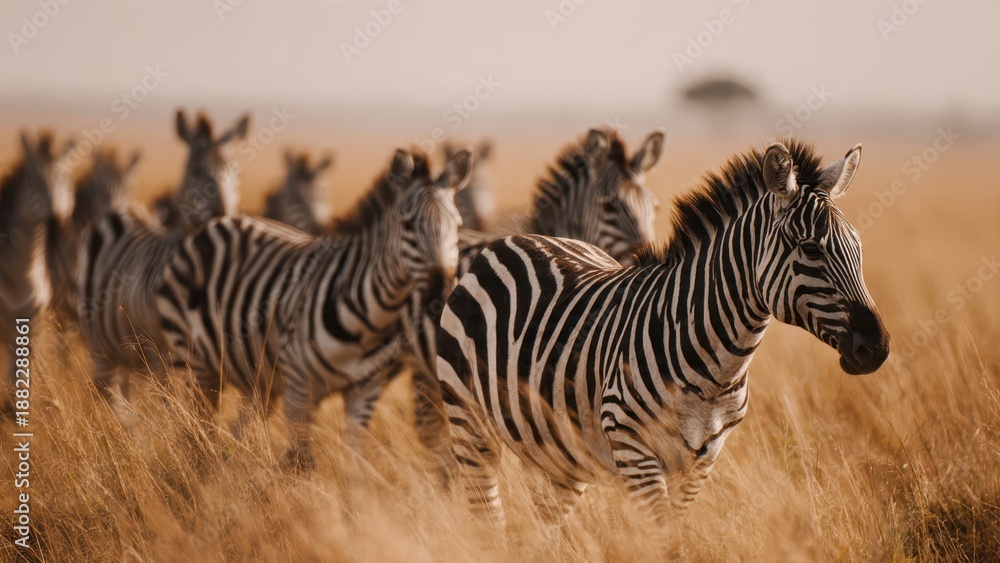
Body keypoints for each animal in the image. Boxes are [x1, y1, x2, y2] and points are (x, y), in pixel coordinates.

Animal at [1, 133, 76, 414]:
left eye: (66, 183)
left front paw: (20, 409)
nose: (59, 229)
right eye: (37, 184)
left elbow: (24, 368)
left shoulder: (34, 320)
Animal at [75, 111, 246, 417]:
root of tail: (121, 209)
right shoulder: (162, 354)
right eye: (196, 171)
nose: (222, 213)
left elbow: (206, 409)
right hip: (101, 345)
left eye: (235, 171)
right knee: (107, 392)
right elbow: (174, 410)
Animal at [156, 147, 473, 469]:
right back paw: (199, 466)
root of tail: (217, 222)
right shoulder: (298, 389)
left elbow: (356, 461)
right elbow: (300, 461)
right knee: (197, 421)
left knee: (236, 427)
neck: (371, 321)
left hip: (255, 375)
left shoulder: (364, 392)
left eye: (457, 226)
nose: (440, 297)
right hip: (194, 361)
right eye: (407, 225)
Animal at [435, 140, 890, 533]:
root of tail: (515, 237)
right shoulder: (634, 449)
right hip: (468, 421)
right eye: (811, 249)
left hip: (555, 449)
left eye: (859, 246)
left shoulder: (702, 461)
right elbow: (663, 540)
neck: (717, 368)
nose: (878, 348)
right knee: (486, 518)